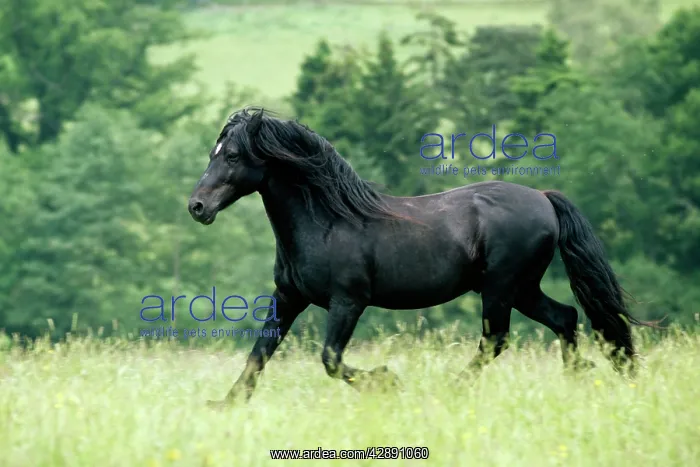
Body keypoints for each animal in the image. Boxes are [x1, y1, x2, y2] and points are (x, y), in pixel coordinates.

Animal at [187, 107, 656, 407]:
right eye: (212, 154)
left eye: (233, 155)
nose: (197, 207)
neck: (326, 220)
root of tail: (543, 197)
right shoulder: (288, 298)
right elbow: (259, 353)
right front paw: (226, 404)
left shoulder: (348, 302)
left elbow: (331, 360)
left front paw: (387, 382)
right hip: (522, 289)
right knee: (565, 318)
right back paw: (578, 379)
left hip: (501, 288)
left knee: (497, 339)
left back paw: (450, 388)